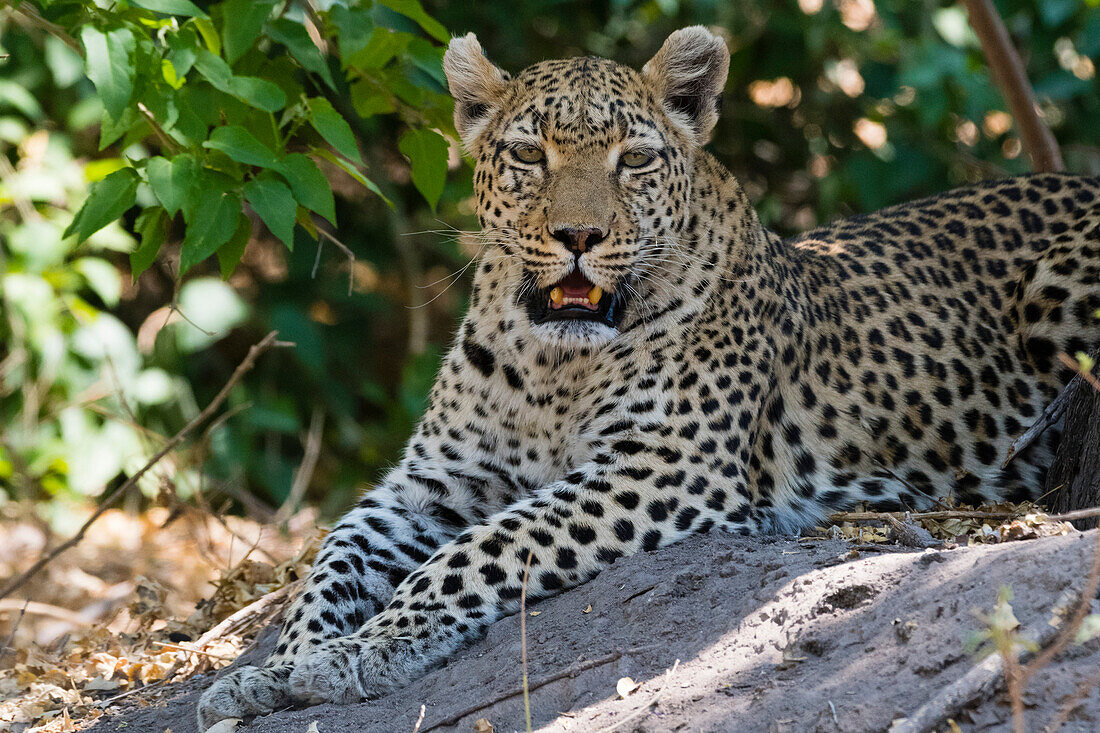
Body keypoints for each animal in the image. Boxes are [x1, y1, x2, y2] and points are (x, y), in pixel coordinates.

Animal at [198, 25, 1100, 726]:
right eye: (528, 154)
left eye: (633, 160)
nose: (578, 236)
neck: (551, 363)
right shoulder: (438, 478)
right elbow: (336, 553)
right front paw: (280, 666)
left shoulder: (664, 465)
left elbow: (480, 548)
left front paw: (363, 650)